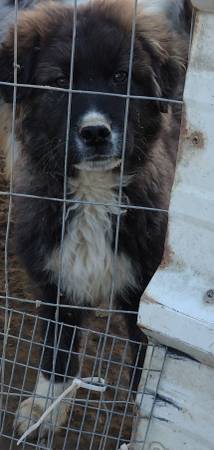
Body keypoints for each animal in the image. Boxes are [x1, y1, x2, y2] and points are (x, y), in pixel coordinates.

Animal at [0, 0, 191, 438]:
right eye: (58, 83)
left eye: (121, 77)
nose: (95, 133)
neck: (93, 195)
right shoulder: (58, 280)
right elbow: (56, 351)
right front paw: (45, 409)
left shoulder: (143, 299)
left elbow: (143, 367)